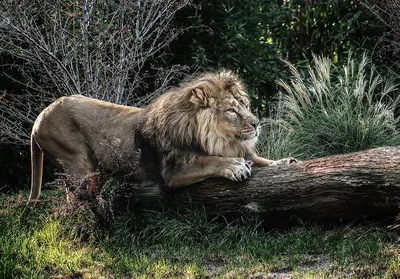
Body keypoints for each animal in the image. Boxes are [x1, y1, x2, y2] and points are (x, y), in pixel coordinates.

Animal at [28, 69, 296, 202]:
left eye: (246, 105)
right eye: (231, 110)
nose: (257, 123)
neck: (219, 139)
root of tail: (39, 117)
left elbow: (263, 161)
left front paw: (287, 162)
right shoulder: (173, 172)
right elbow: (209, 161)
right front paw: (234, 166)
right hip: (78, 163)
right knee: (74, 199)